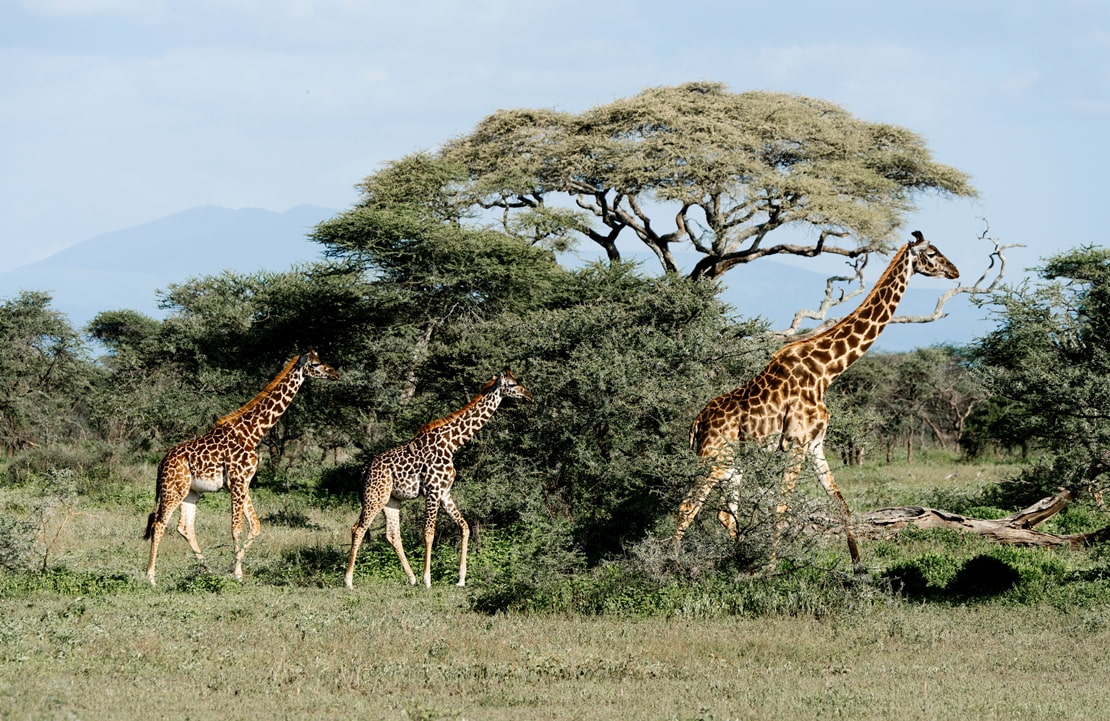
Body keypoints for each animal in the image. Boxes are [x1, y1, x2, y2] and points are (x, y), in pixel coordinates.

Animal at [145, 348, 339, 585]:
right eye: (316, 364)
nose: (335, 374)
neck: (252, 433)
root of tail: (161, 463)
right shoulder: (238, 481)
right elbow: (236, 528)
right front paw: (235, 573)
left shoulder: (244, 482)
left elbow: (255, 526)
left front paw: (236, 570)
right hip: (173, 489)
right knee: (158, 524)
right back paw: (151, 577)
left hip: (190, 492)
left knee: (185, 527)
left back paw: (208, 570)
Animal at [346, 368, 537, 585]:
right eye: (513, 384)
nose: (530, 396)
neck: (452, 444)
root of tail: (364, 470)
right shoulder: (433, 490)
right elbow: (429, 533)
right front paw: (427, 580)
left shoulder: (444, 491)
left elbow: (465, 526)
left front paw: (461, 579)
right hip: (374, 497)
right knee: (358, 529)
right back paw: (349, 581)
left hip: (390, 500)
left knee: (392, 534)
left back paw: (411, 578)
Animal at [674, 230, 963, 567]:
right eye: (931, 253)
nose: (955, 271)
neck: (827, 371)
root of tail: (697, 422)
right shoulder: (796, 443)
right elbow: (782, 507)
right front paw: (770, 568)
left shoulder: (816, 445)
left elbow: (841, 505)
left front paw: (858, 567)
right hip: (713, 458)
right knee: (687, 507)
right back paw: (667, 565)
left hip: (733, 464)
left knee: (723, 513)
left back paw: (736, 560)